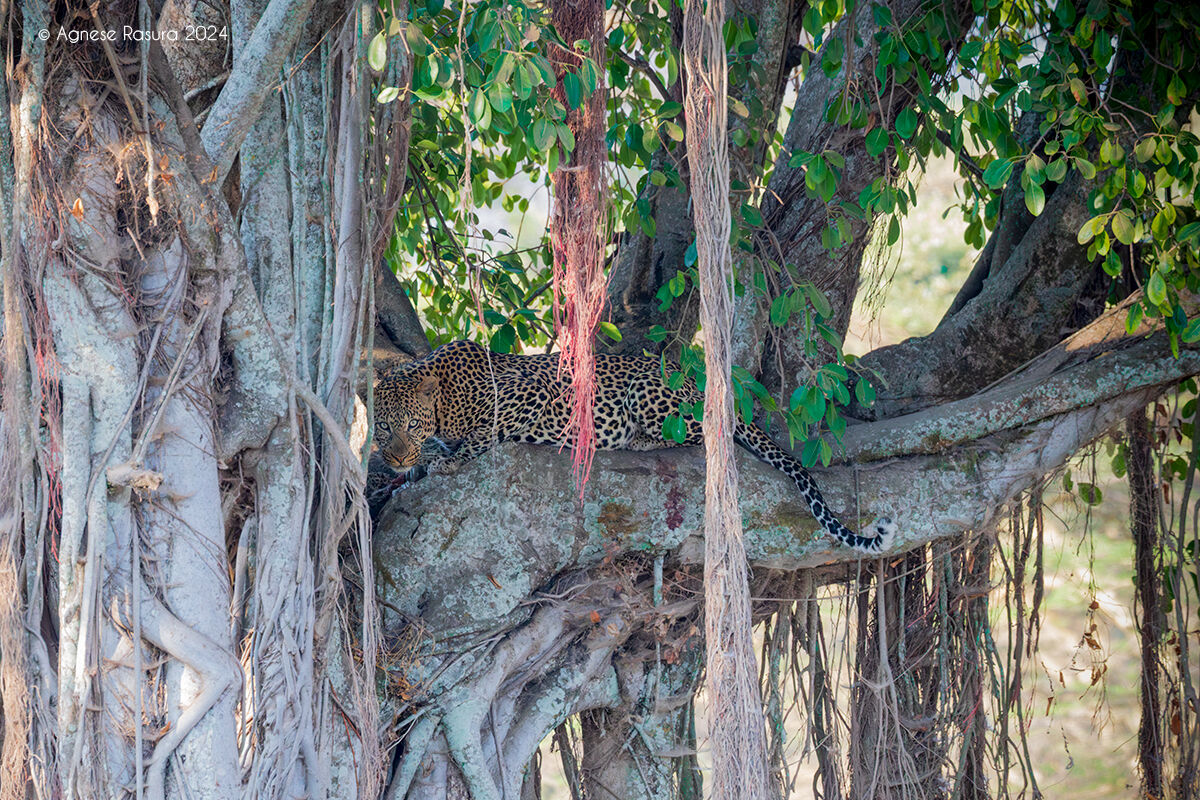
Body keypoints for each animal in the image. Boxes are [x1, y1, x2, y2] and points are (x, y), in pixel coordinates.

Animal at [373, 340, 895, 553]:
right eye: (381, 429)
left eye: (411, 424)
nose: (394, 455)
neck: (445, 395)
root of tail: (697, 378)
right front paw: (412, 468)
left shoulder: (531, 394)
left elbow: (483, 434)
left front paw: (444, 461)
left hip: (650, 393)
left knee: (704, 432)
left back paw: (636, 441)